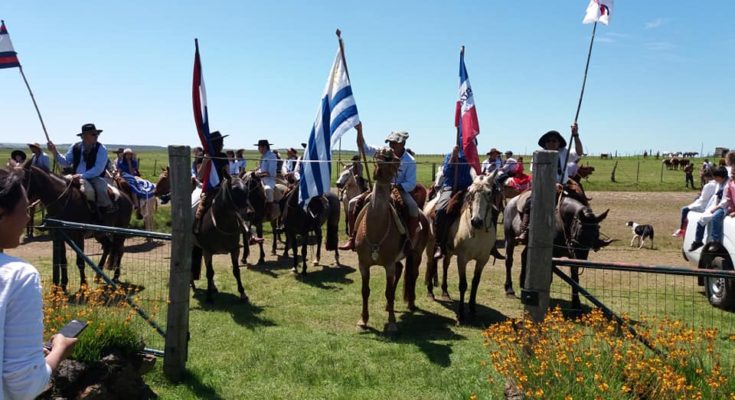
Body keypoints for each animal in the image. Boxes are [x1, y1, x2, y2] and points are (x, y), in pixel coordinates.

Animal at [22, 162, 135, 290]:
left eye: (23, 178)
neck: (64, 200)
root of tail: (126, 197)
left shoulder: (78, 235)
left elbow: (80, 262)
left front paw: (83, 286)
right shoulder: (59, 236)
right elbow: (63, 261)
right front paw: (63, 285)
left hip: (119, 232)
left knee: (119, 250)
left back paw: (115, 277)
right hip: (99, 234)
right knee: (108, 246)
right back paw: (98, 276)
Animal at [191, 175, 252, 304]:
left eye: (247, 189)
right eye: (235, 189)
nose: (250, 213)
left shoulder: (235, 250)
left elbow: (236, 271)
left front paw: (242, 293)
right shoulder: (207, 251)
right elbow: (210, 273)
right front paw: (209, 297)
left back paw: (212, 287)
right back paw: (192, 285)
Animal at [356, 148, 432, 332]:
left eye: (393, 158)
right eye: (378, 155)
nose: (386, 153)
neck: (376, 229)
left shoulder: (388, 265)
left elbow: (389, 292)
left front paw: (391, 323)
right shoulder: (363, 265)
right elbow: (365, 291)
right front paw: (363, 320)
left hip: (416, 254)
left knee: (413, 274)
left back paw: (411, 303)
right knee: (400, 269)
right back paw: (388, 306)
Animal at [422, 173, 504, 324]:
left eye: (489, 193)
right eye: (470, 193)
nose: (476, 221)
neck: (477, 232)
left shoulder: (483, 259)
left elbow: (475, 282)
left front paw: (472, 308)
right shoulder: (462, 259)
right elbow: (463, 285)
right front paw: (461, 314)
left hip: (448, 251)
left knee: (445, 265)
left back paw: (445, 291)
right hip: (431, 246)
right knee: (431, 263)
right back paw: (430, 292)